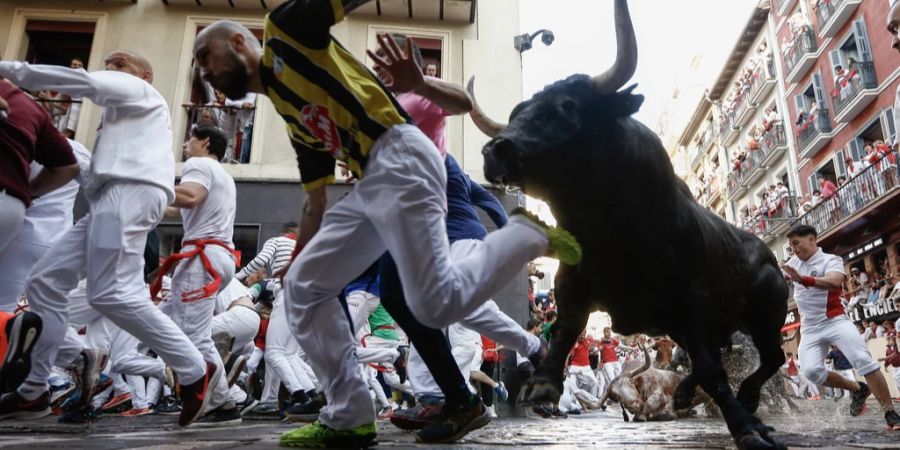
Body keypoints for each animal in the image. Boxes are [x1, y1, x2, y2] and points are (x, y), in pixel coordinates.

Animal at [468, 1, 792, 448]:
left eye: (568, 105)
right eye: (518, 113)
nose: (495, 150)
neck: (609, 229)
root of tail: (766, 254)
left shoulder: (693, 302)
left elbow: (713, 369)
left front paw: (747, 428)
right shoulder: (574, 285)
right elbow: (565, 331)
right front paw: (543, 384)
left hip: (767, 314)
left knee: (770, 356)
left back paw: (744, 398)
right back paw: (688, 393)